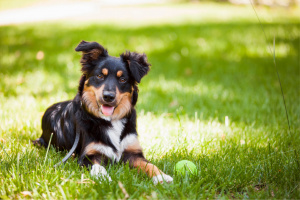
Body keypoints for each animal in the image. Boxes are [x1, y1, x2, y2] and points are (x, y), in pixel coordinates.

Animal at [32, 40, 172, 184]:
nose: (108, 96)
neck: (110, 120)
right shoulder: (88, 155)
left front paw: (161, 176)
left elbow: (149, 165)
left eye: (122, 79)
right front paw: (103, 179)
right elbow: (98, 168)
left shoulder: (133, 153)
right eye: (100, 76)